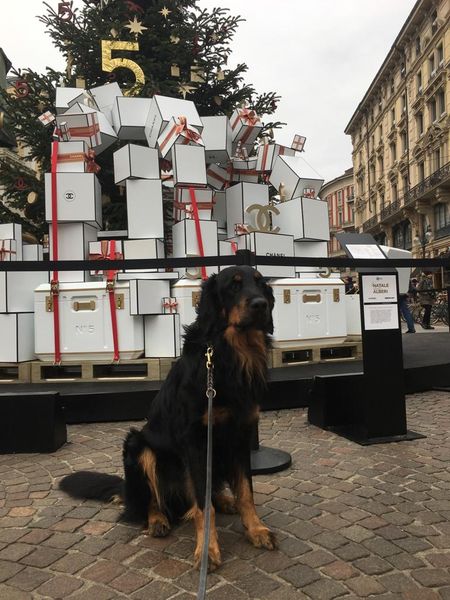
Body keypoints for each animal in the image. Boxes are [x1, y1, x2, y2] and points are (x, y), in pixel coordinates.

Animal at [60, 265, 276, 570]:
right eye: (233, 286)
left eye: (260, 284)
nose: (261, 304)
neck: (229, 354)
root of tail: (126, 490)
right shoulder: (196, 441)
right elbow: (203, 506)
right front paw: (207, 549)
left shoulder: (241, 435)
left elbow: (246, 491)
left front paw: (256, 530)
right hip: (138, 445)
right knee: (151, 503)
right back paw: (158, 520)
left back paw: (224, 500)